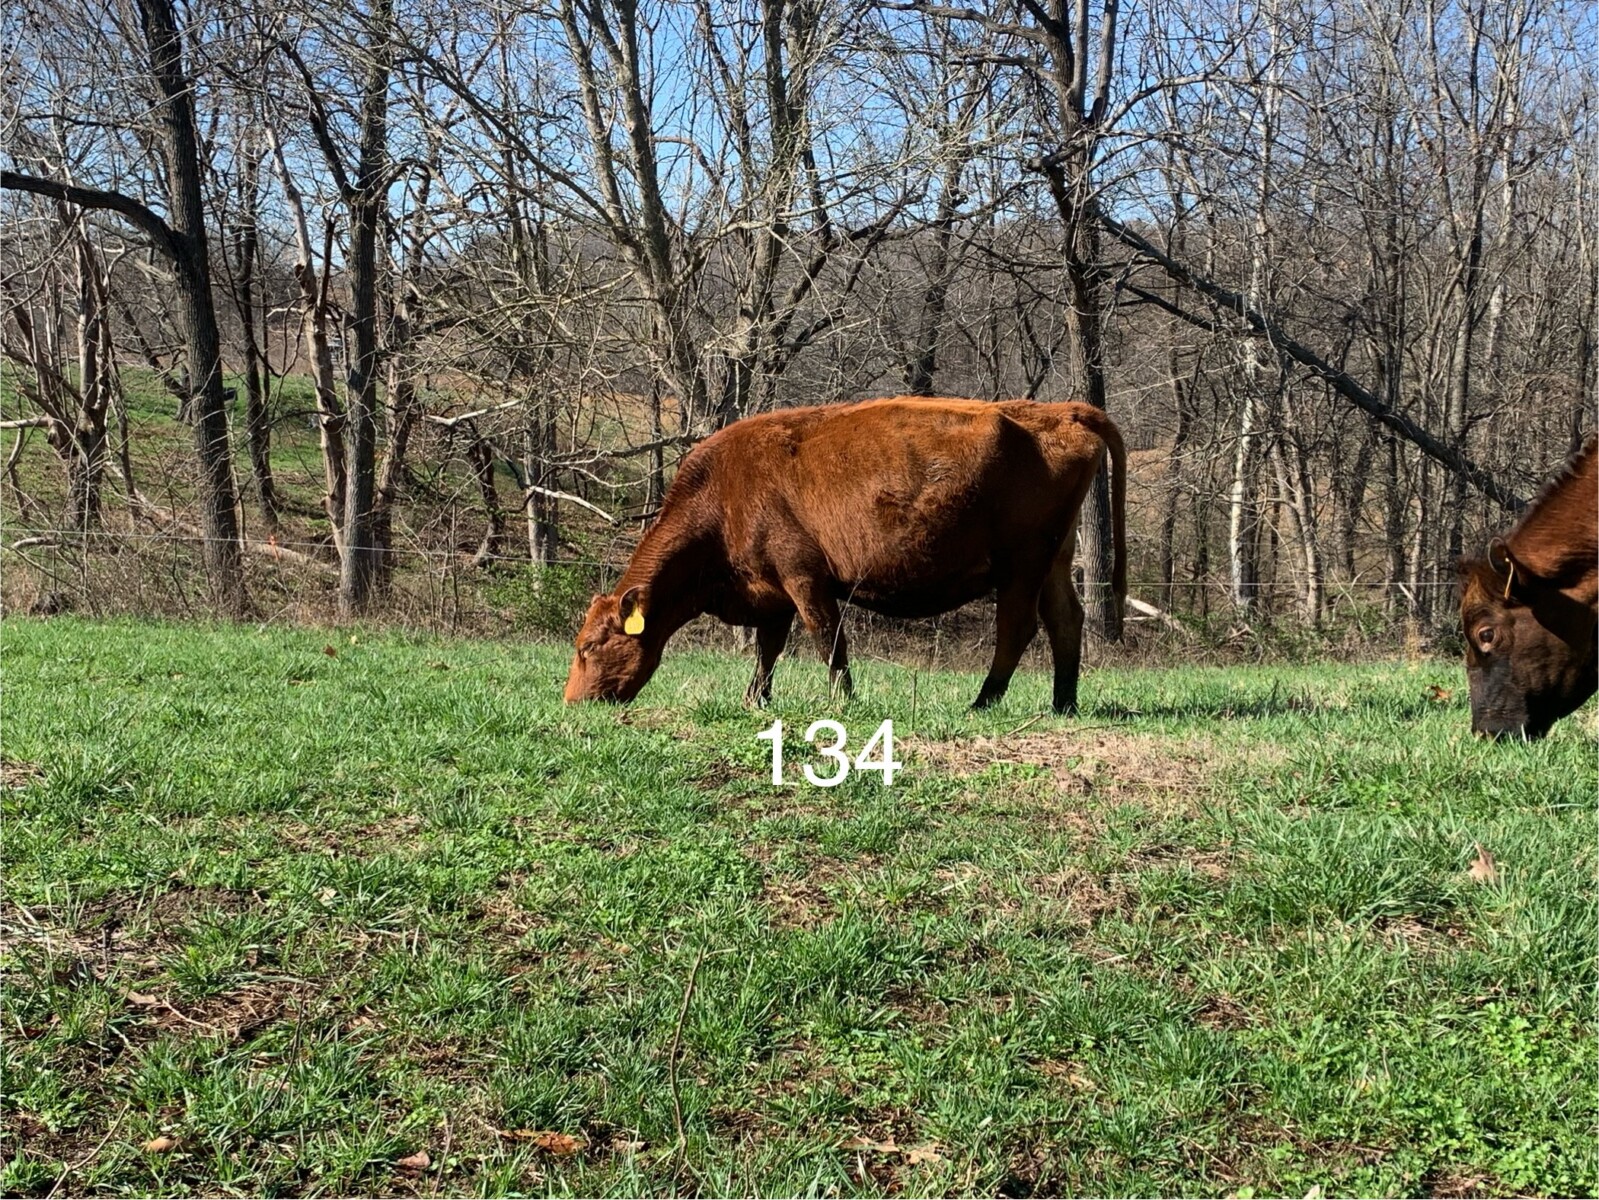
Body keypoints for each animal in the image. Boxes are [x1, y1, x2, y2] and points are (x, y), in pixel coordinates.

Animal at [564, 396, 1126, 713]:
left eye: (588, 645)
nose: (571, 702)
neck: (722, 491)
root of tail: (1058, 410)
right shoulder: (770, 591)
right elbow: (768, 649)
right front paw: (754, 699)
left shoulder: (804, 577)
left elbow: (827, 640)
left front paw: (843, 700)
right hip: (1053, 562)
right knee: (1066, 621)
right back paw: (1064, 703)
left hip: (1021, 564)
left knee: (1017, 628)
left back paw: (983, 702)